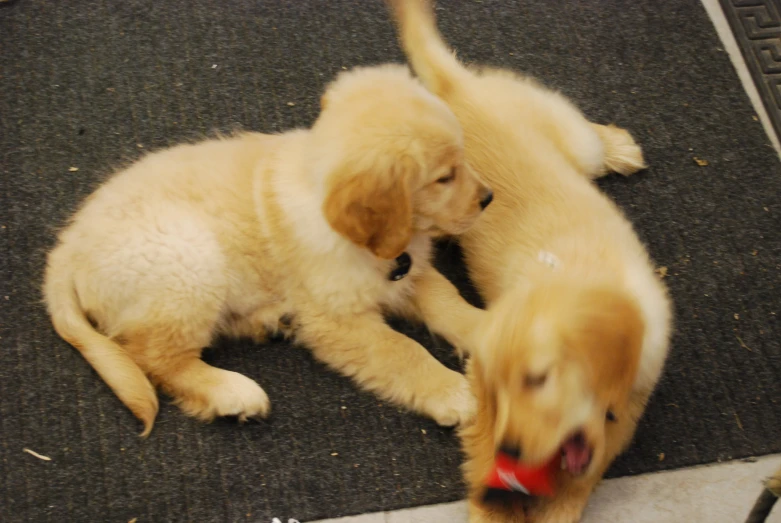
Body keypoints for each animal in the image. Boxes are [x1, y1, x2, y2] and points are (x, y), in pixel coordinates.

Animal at [42, 64, 490, 438]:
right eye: (444, 178)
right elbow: (402, 350)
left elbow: (447, 299)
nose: (489, 198)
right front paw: (455, 392)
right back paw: (231, 392)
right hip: (189, 262)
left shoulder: (408, 271)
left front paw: (486, 328)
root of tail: (66, 249)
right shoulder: (335, 318)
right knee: (154, 357)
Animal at [384, 2, 672, 520]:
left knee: (590, 141)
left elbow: (585, 473)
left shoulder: (629, 402)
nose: (513, 452)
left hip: (568, 137)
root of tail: (459, 90)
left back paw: (619, 147)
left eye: (539, 380)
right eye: (498, 388)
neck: (583, 277)